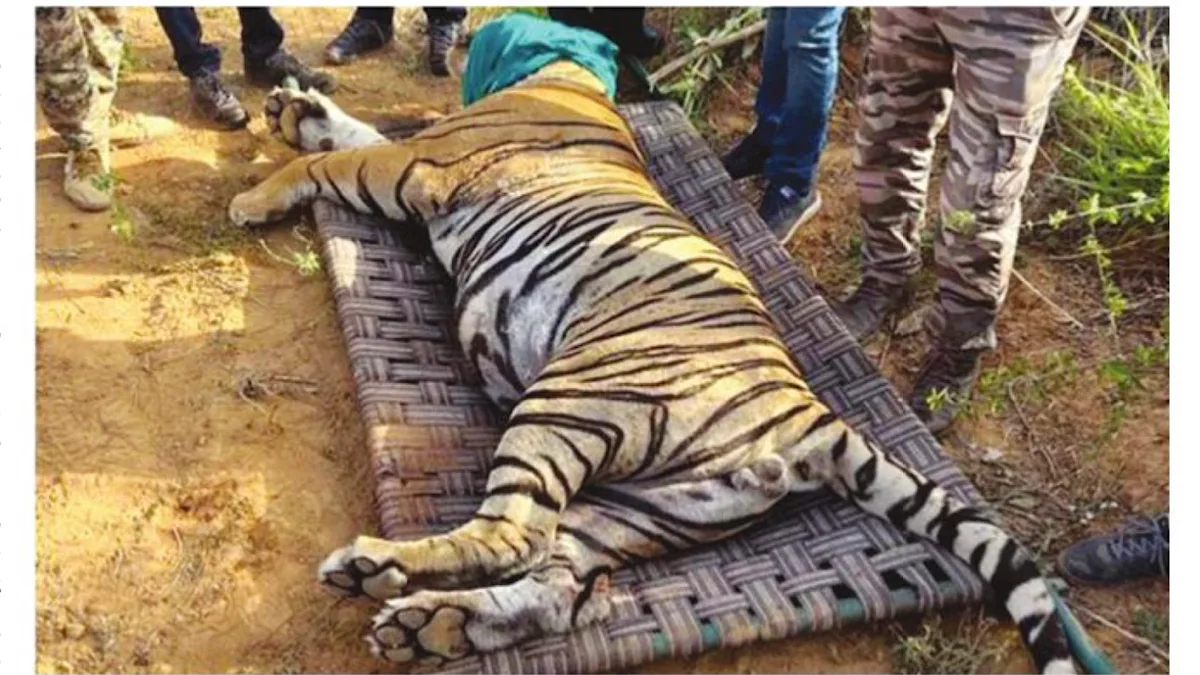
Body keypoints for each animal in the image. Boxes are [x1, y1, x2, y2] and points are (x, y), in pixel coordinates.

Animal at [227, 13, 1077, 674]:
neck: (566, 72)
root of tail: (807, 414)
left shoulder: (418, 165)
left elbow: (339, 156)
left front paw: (257, 192)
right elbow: (351, 133)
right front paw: (297, 107)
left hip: (571, 404)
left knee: (512, 535)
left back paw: (377, 573)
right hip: (637, 508)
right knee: (556, 590)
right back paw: (429, 621)